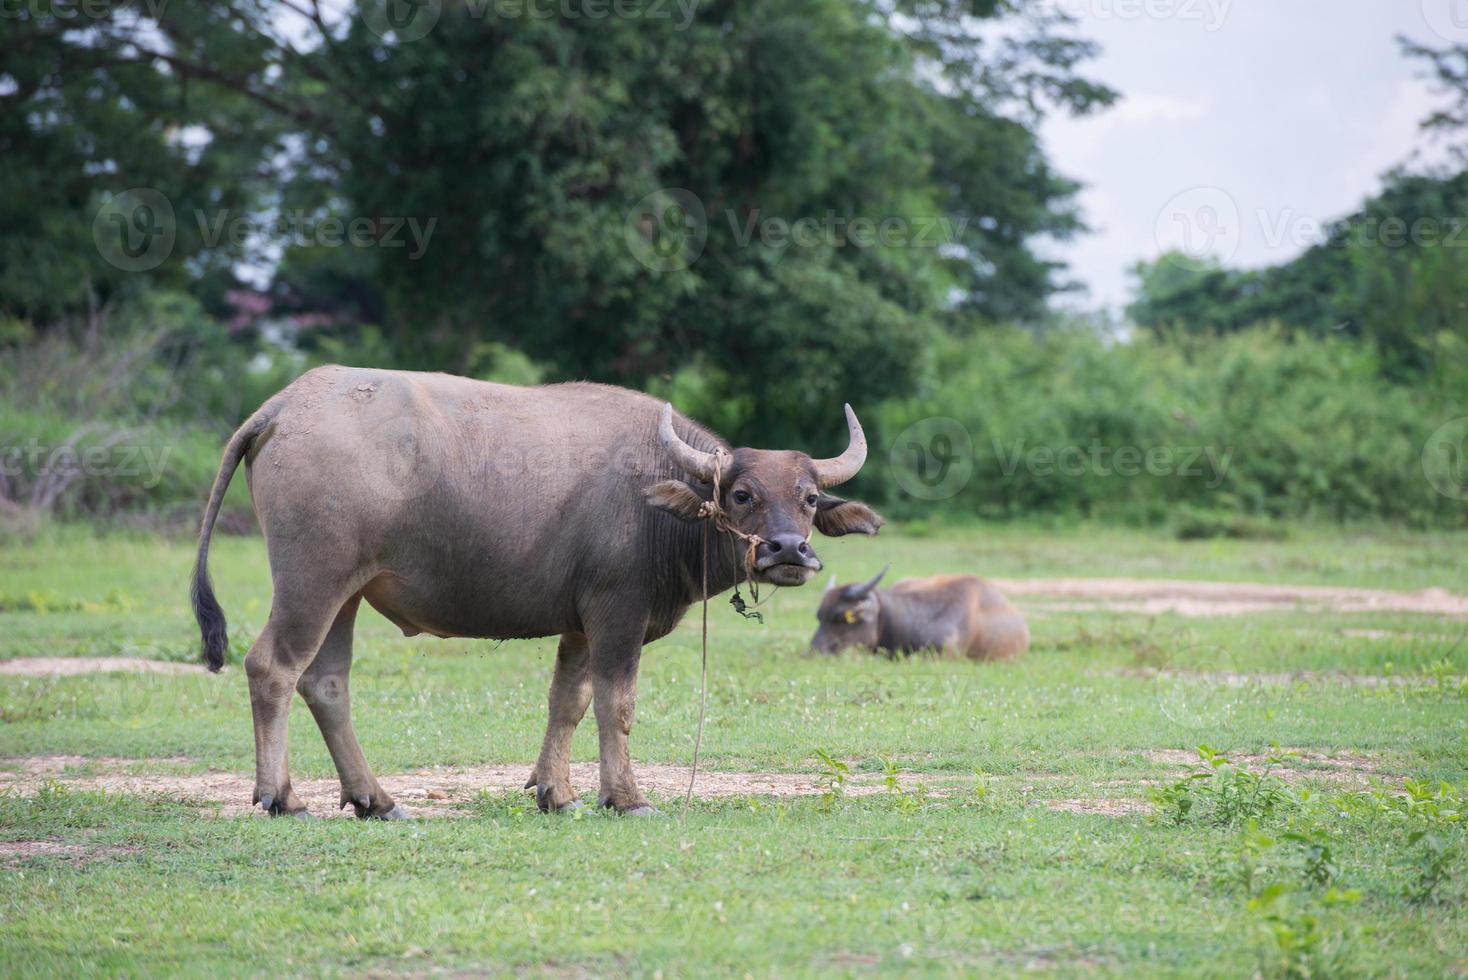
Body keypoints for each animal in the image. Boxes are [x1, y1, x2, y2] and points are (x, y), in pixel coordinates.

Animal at [195, 366, 880, 821]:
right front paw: (625, 798)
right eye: (741, 495)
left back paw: (375, 800)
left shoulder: (579, 623)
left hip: (349, 592)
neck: (659, 504)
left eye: (809, 498)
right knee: (272, 667)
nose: (787, 550)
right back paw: (282, 798)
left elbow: (567, 702)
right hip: (312, 580)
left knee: (326, 682)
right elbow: (616, 704)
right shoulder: (617, 614)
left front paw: (557, 793)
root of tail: (283, 406)